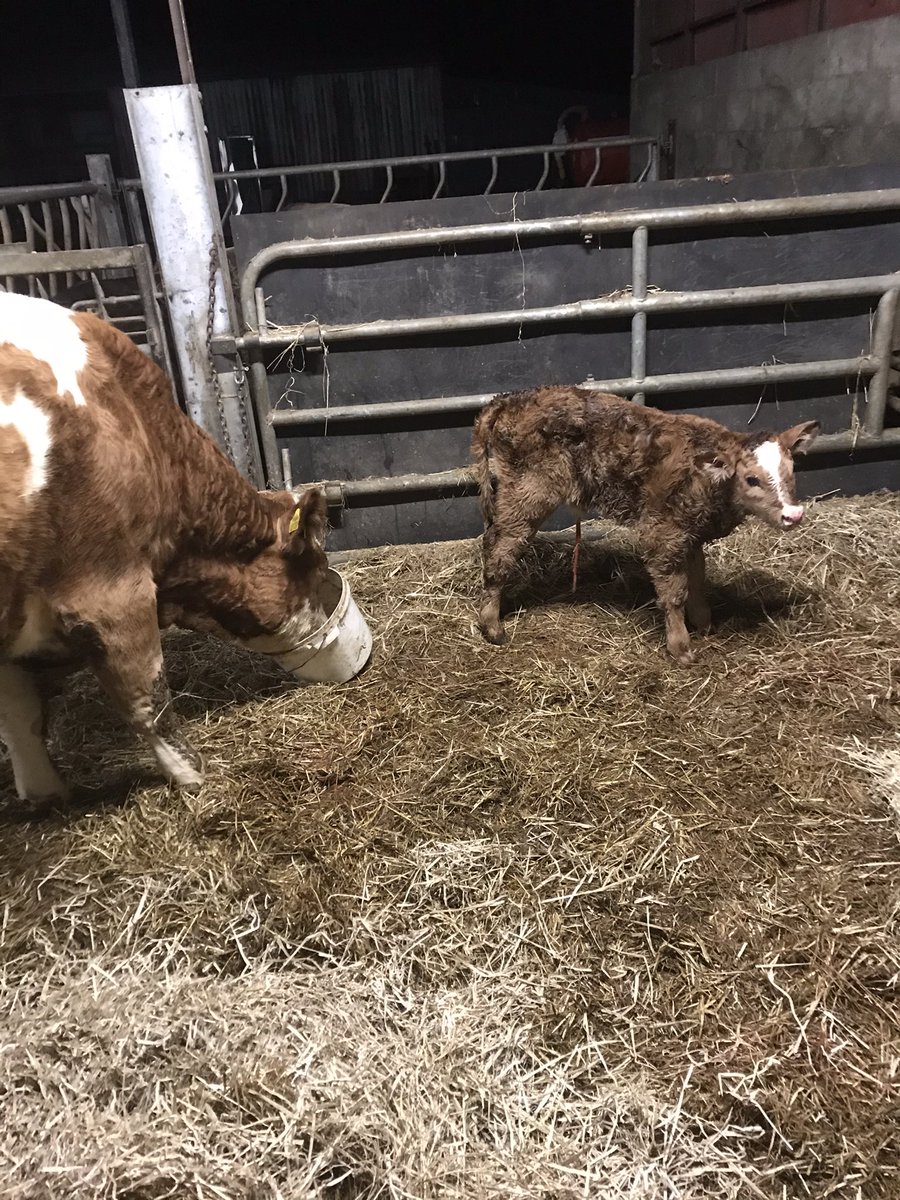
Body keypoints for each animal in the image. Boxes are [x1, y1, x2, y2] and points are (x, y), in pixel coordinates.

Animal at [0, 291, 371, 809]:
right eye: (316, 567)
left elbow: (20, 714)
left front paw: (45, 794)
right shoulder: (111, 590)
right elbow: (148, 696)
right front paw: (196, 777)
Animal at [472, 386, 819, 664]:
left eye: (791, 472)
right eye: (751, 479)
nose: (793, 515)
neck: (708, 481)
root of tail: (509, 400)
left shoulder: (690, 533)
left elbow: (697, 578)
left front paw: (704, 623)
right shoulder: (663, 533)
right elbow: (674, 591)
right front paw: (680, 647)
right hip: (527, 495)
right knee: (500, 550)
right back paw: (492, 627)